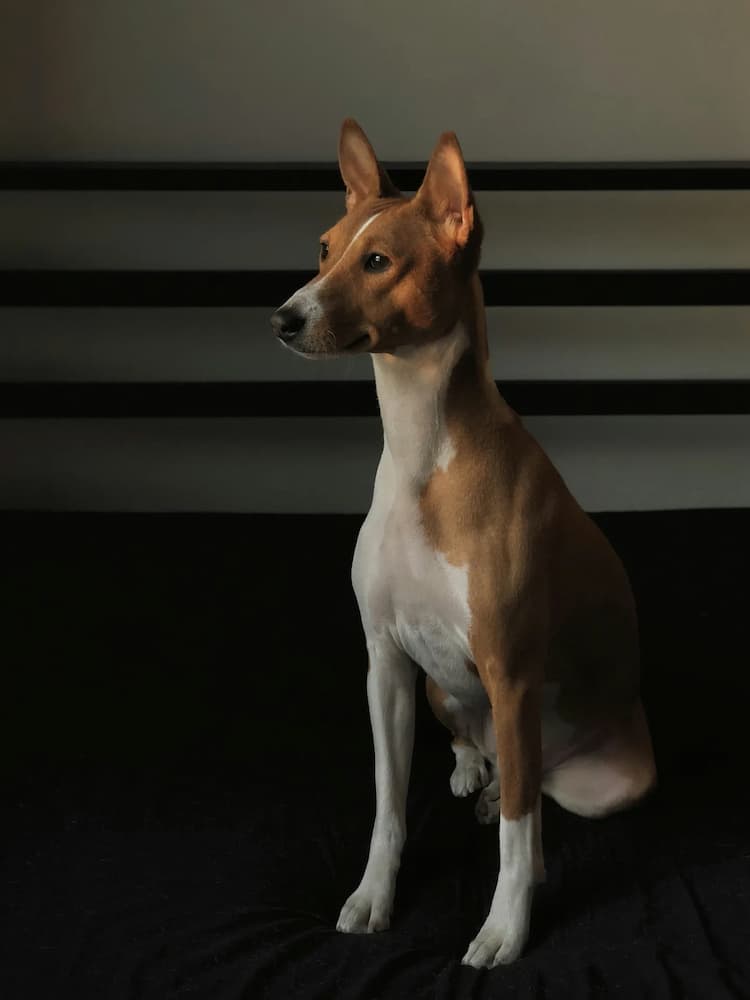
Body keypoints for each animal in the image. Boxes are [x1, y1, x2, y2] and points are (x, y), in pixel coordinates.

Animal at [270, 119, 656, 968]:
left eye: (378, 261)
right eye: (326, 248)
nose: (282, 316)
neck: (423, 454)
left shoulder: (510, 673)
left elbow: (516, 833)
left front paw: (505, 927)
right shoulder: (384, 662)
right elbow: (388, 806)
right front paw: (373, 896)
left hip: (601, 773)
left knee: (533, 794)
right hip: (442, 691)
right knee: (483, 757)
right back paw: (470, 770)